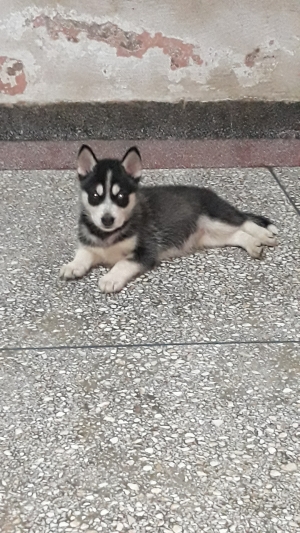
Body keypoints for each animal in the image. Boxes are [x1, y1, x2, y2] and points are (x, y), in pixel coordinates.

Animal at [59, 144, 278, 290]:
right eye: (95, 196)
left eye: (120, 196)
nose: (107, 220)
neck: (108, 235)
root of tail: (212, 194)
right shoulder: (90, 244)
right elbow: (83, 254)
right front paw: (73, 265)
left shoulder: (146, 252)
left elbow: (123, 263)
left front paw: (110, 278)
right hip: (211, 237)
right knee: (237, 235)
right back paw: (253, 245)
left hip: (216, 218)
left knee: (244, 221)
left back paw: (263, 235)